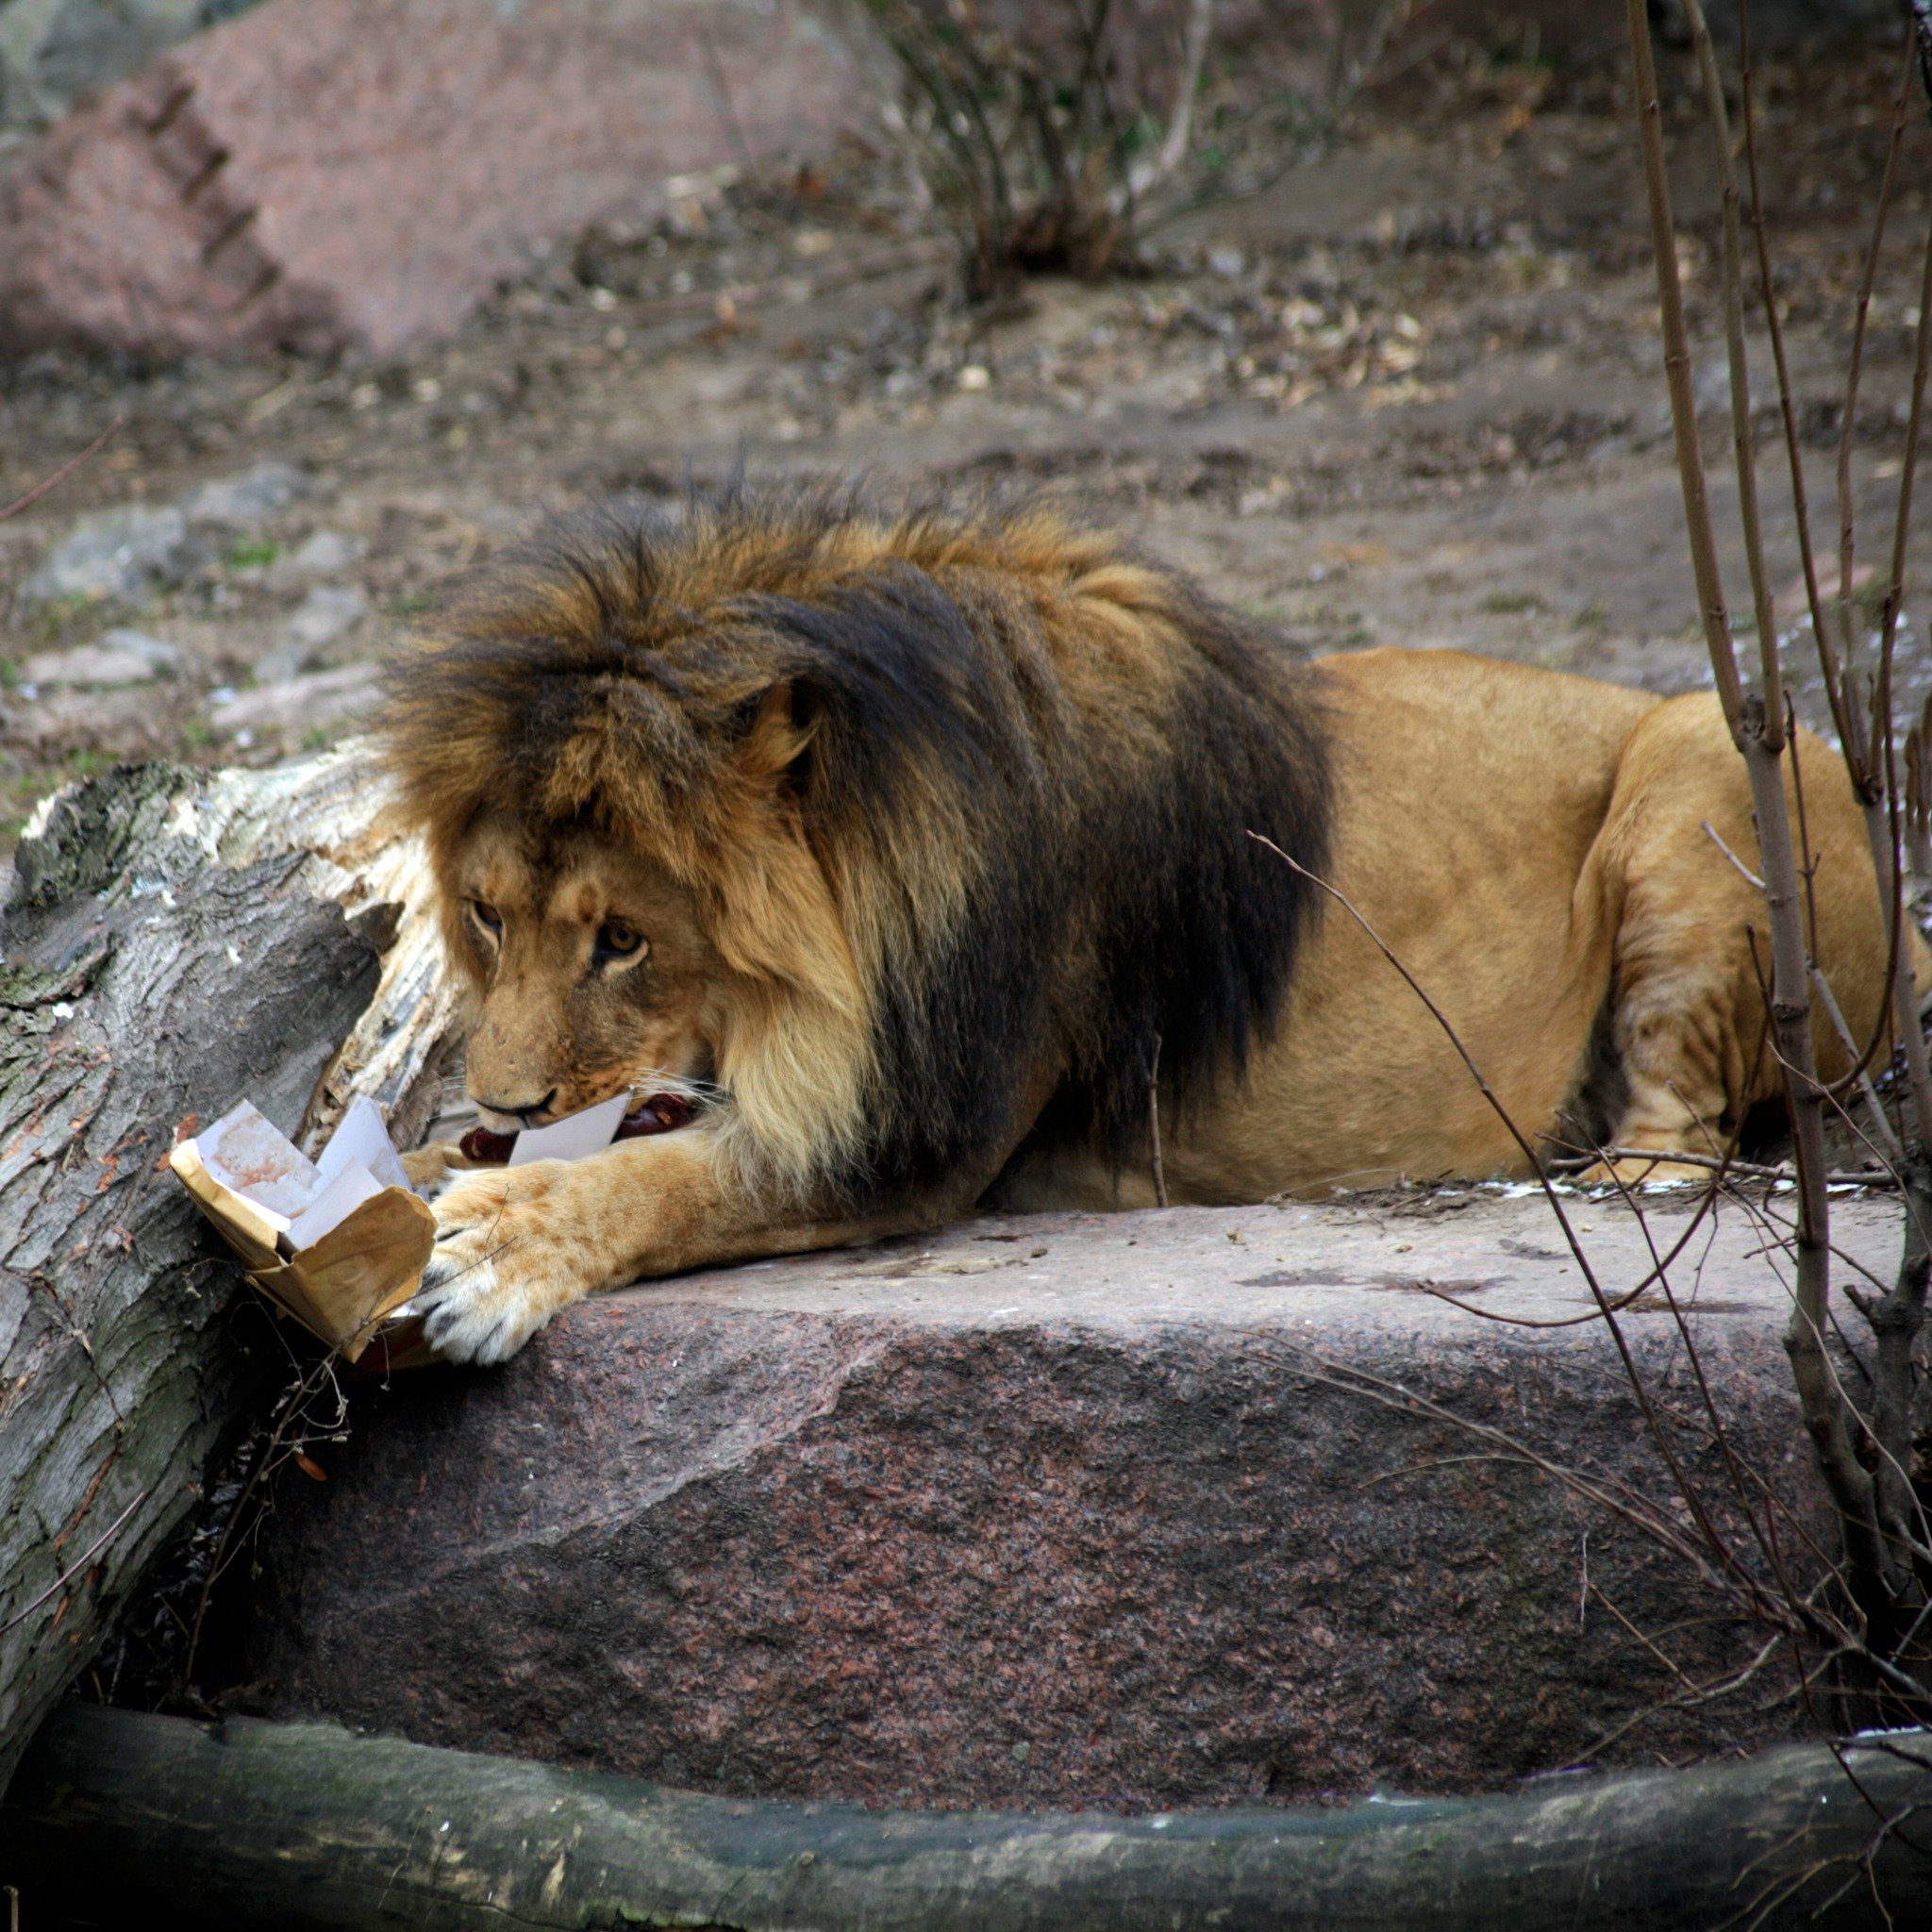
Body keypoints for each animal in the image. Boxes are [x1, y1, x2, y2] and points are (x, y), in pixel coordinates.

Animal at [388, 491, 1916, 1367]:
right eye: (486, 913)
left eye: (624, 939)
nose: (503, 1103)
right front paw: (416, 1181)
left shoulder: (916, 1131)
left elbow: (672, 1179)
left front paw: (488, 1247)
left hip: (1712, 747)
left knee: (1695, 1126)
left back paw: (1605, 1175)